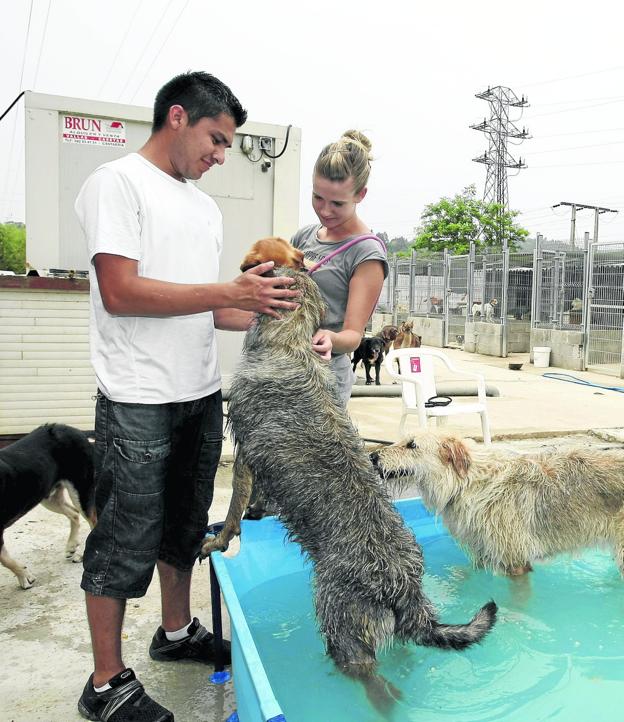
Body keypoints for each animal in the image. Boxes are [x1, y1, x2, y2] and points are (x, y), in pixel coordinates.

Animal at [0, 424, 96, 588]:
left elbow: (5, 560)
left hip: (80, 491)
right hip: (48, 496)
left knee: (93, 523)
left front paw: (25, 577)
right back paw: (71, 545)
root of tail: (76, 430)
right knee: (74, 513)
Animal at [202, 266, 494, 708]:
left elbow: (235, 507)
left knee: (367, 673)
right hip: (386, 630)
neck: (288, 344)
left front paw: (221, 539)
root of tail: (406, 589)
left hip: (339, 622)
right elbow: (257, 499)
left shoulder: (245, 454)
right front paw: (256, 513)